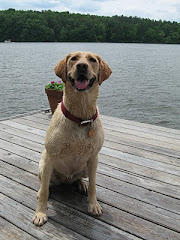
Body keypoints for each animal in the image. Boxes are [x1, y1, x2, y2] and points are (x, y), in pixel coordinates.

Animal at [32, 51, 111, 226]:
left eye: (92, 60)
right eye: (74, 58)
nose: (82, 66)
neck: (80, 117)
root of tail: (65, 179)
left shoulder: (94, 158)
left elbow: (94, 186)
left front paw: (93, 205)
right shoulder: (49, 157)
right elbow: (45, 192)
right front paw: (40, 213)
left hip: (85, 168)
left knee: (78, 178)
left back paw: (81, 184)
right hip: (42, 165)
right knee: (44, 184)